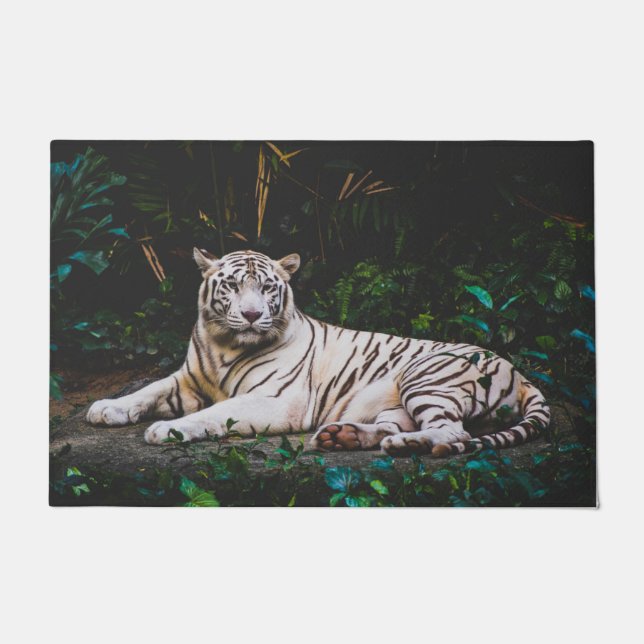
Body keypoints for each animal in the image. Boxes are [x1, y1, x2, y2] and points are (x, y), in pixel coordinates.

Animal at [87, 248, 550, 457]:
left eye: (267, 288)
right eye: (233, 286)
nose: (252, 315)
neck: (224, 344)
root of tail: (521, 373)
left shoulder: (276, 400)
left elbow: (215, 413)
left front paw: (167, 430)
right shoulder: (187, 379)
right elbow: (147, 389)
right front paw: (106, 408)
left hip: (426, 377)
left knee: (454, 432)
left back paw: (406, 445)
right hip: (398, 401)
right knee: (399, 425)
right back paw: (342, 436)